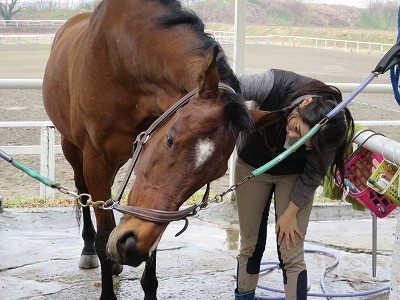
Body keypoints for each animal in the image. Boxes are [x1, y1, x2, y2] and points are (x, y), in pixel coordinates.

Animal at [41, 1, 272, 298]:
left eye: (216, 172)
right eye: (170, 139)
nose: (129, 247)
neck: (120, 58)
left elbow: (151, 244)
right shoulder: (96, 159)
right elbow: (104, 231)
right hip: (72, 148)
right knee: (83, 194)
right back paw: (89, 250)